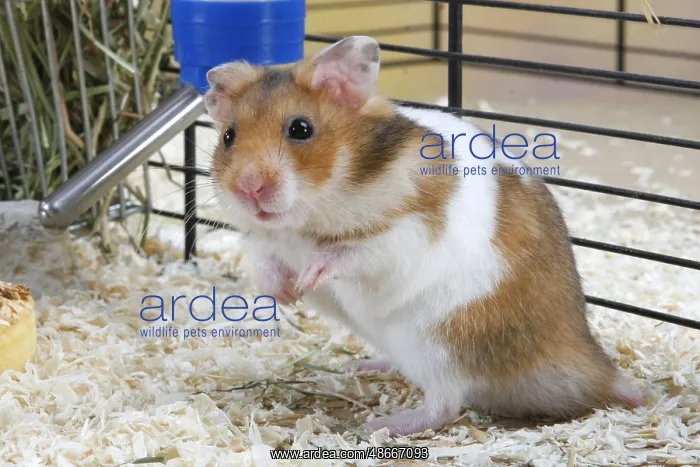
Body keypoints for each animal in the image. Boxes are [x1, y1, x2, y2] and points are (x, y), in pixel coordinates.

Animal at [203, 36, 643, 436]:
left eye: (300, 128)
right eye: (228, 136)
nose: (248, 188)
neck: (305, 219)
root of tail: (590, 364)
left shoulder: (407, 233)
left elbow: (353, 253)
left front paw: (309, 276)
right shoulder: (262, 240)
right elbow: (266, 264)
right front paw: (286, 295)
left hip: (439, 342)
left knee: (444, 406)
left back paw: (381, 425)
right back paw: (366, 365)